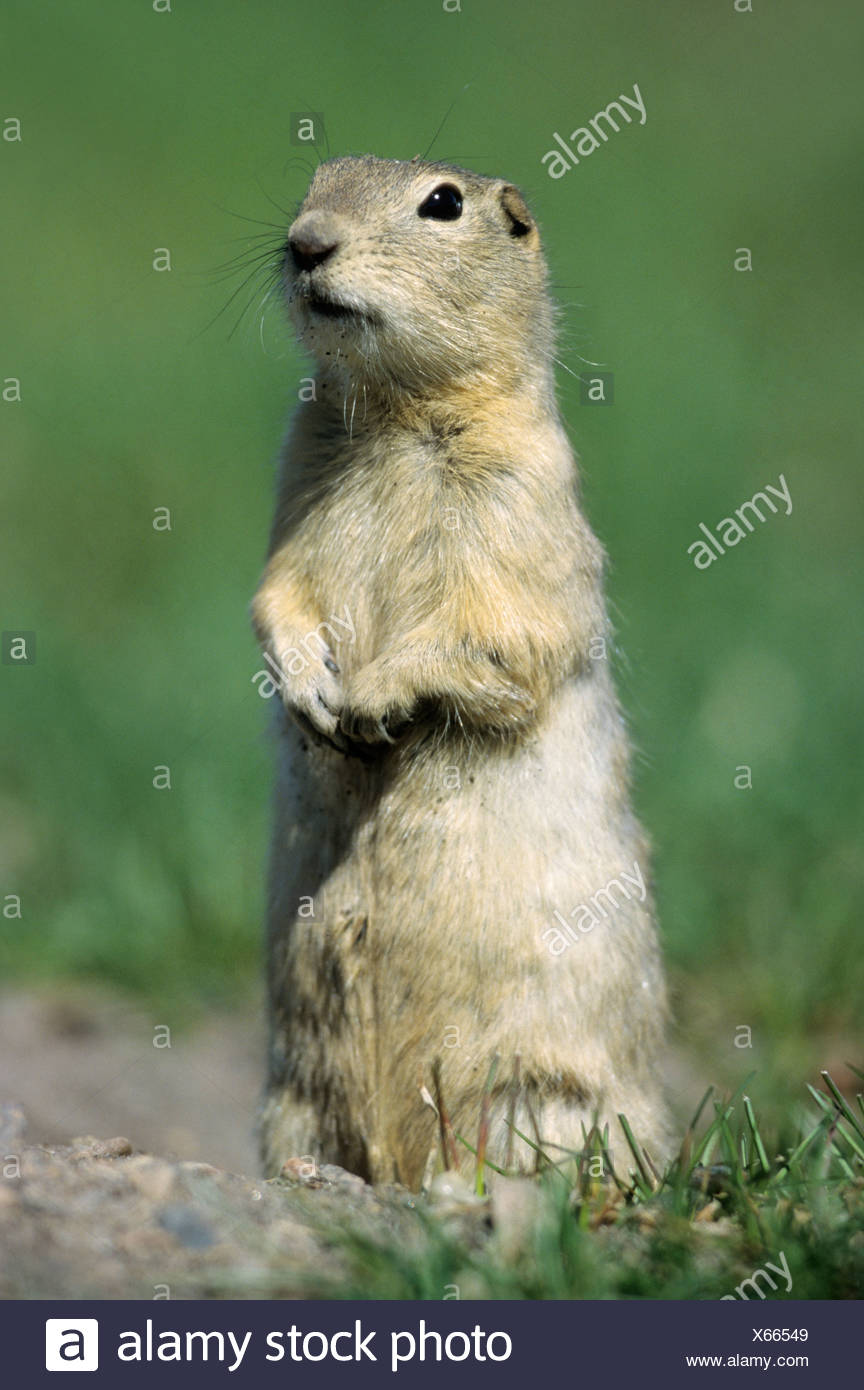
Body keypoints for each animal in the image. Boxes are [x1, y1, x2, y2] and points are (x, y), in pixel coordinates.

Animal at [251, 155, 669, 1187]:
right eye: (316, 177)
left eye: (443, 203)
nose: (305, 241)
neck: (395, 416)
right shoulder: (294, 471)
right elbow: (277, 594)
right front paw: (309, 687)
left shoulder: (521, 495)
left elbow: (495, 634)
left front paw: (366, 702)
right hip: (293, 1099)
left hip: (535, 1096)